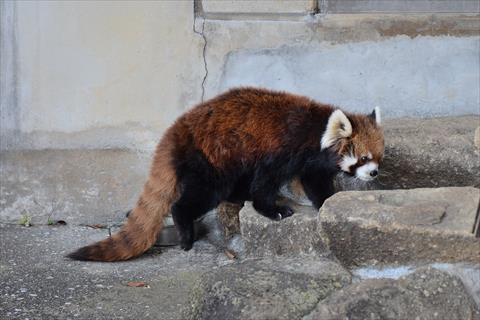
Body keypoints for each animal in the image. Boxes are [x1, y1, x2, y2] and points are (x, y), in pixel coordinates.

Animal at [67, 86, 384, 262]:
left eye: (379, 157)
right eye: (363, 158)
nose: (374, 173)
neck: (315, 130)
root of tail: (178, 129)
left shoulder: (310, 162)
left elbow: (314, 181)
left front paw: (327, 200)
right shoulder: (281, 149)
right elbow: (265, 183)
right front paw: (273, 210)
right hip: (212, 159)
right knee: (200, 196)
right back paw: (186, 232)